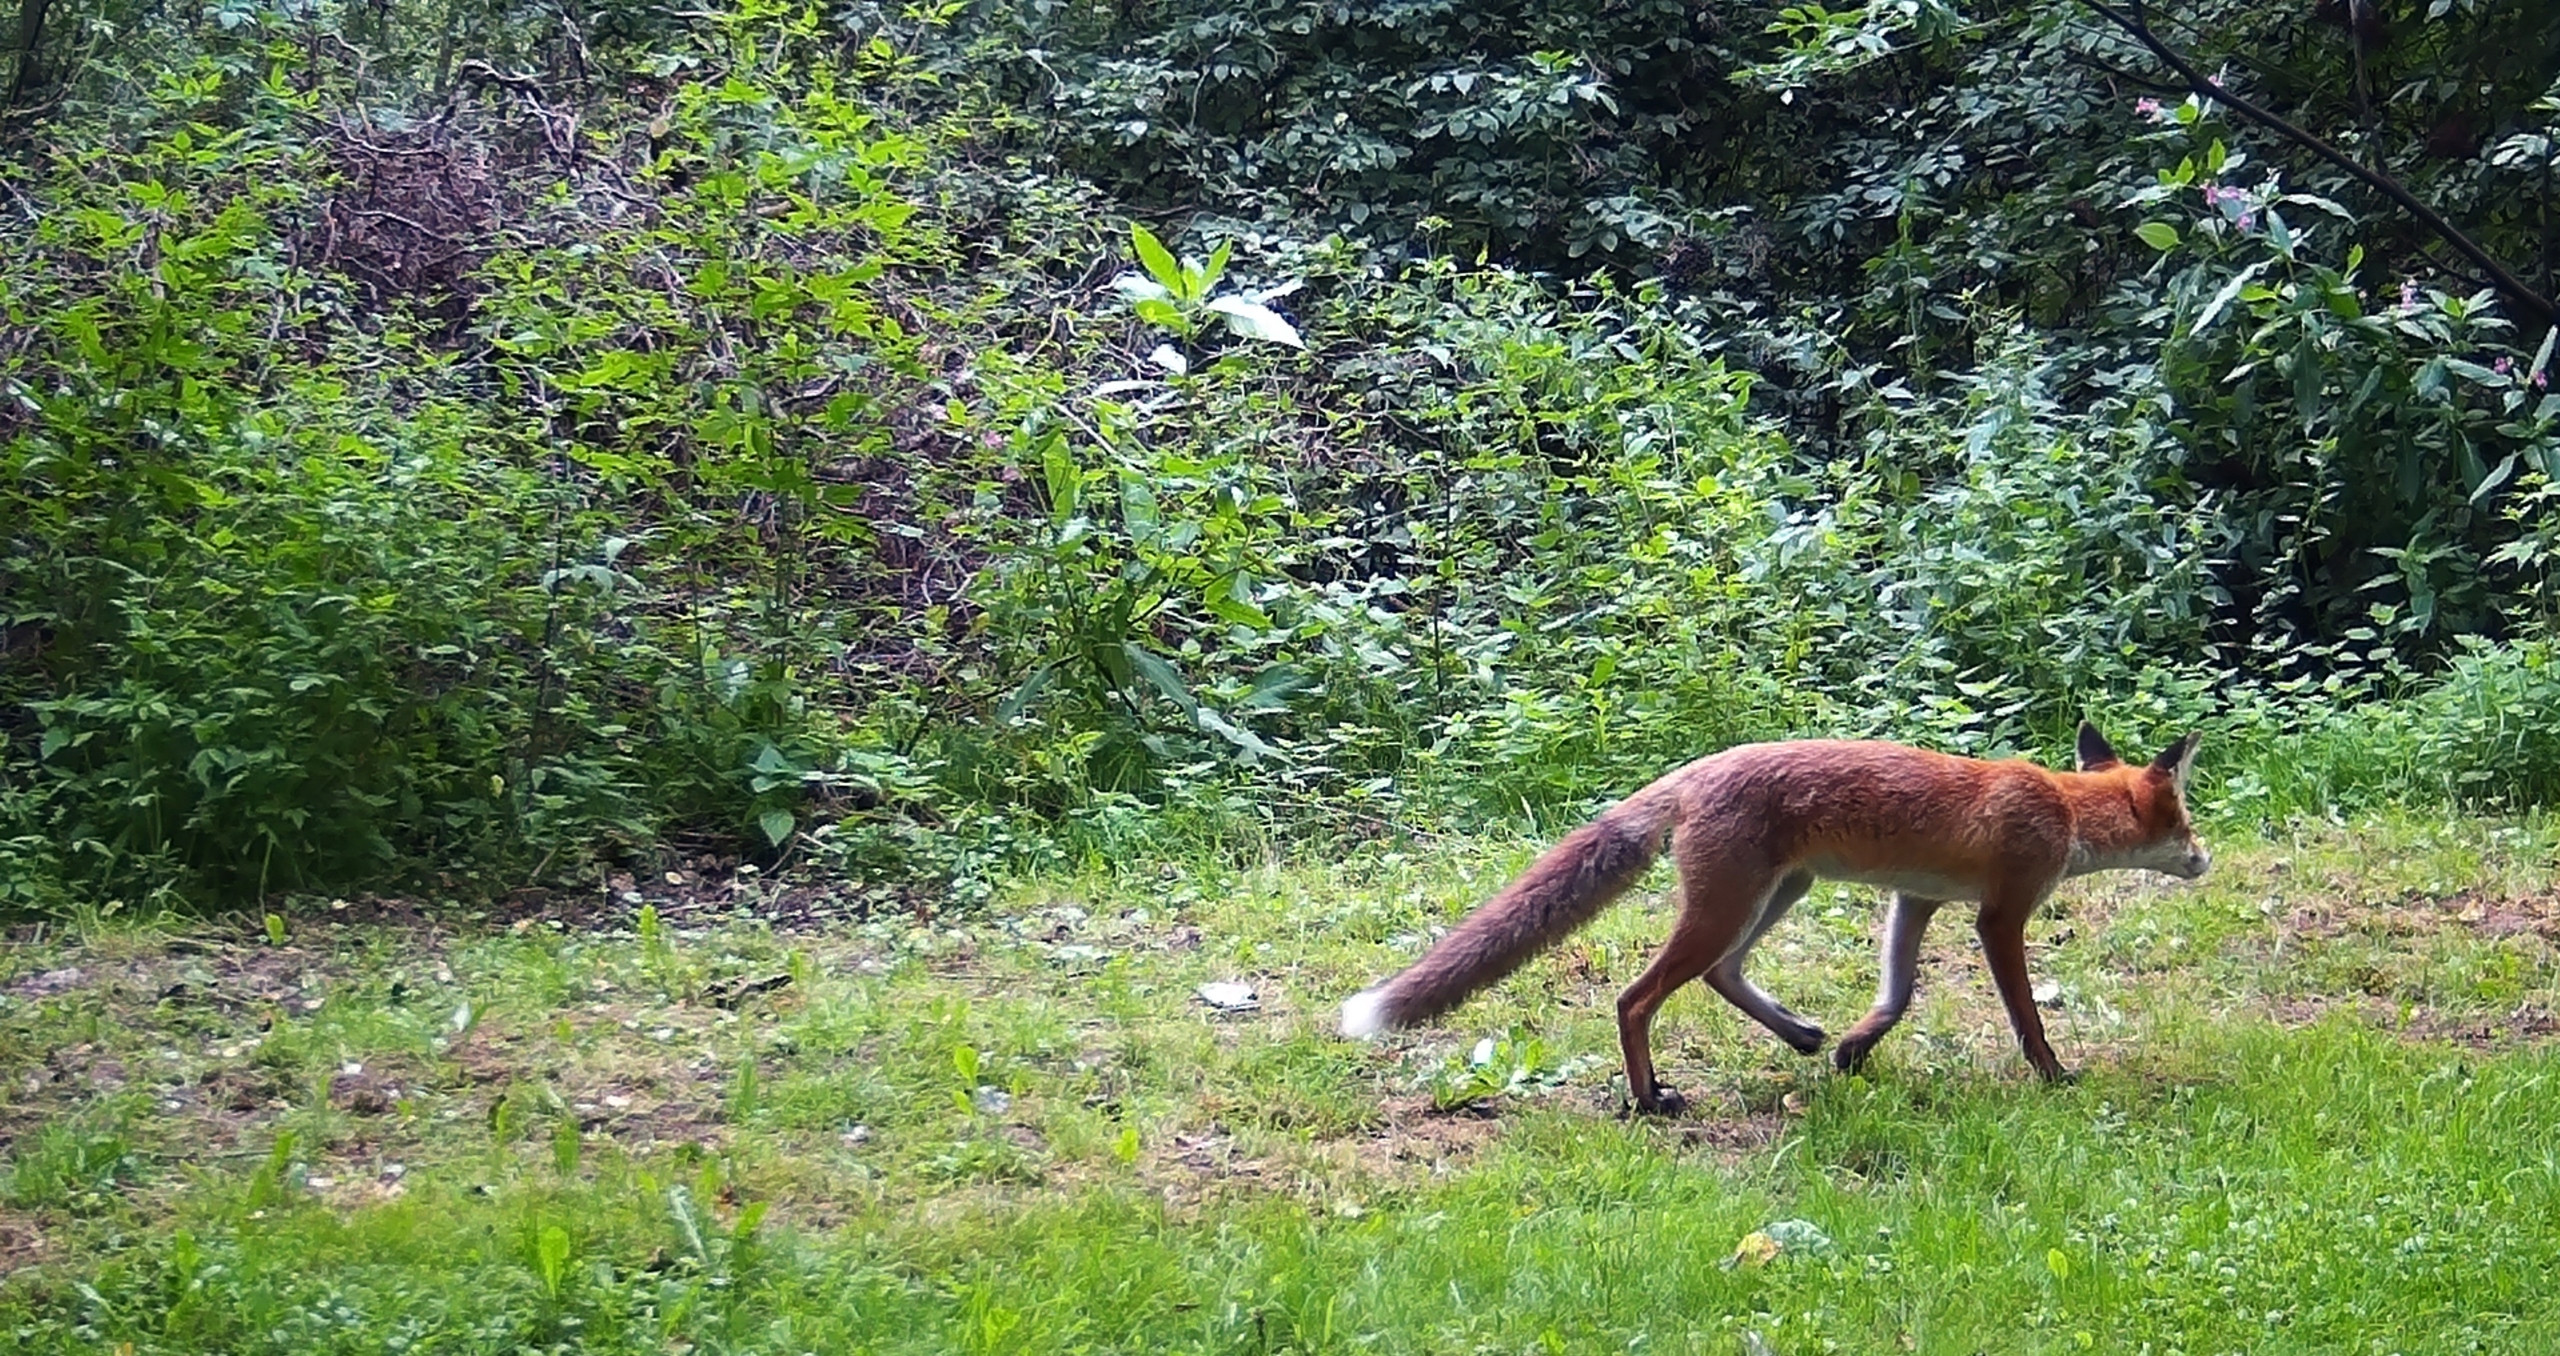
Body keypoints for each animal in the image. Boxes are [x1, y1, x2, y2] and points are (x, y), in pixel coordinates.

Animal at [1341, 716, 2201, 1110]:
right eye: (2187, 823)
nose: (2206, 860)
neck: (2063, 807)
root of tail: (1697, 769)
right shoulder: (2001, 914)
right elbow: (2025, 1015)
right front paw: (2053, 1074)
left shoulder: (1915, 898)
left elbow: (1897, 996)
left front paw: (1854, 1050)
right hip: (1729, 907)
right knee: (1635, 998)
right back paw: (1649, 1100)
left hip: (1780, 894)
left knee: (1721, 975)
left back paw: (1802, 1037)